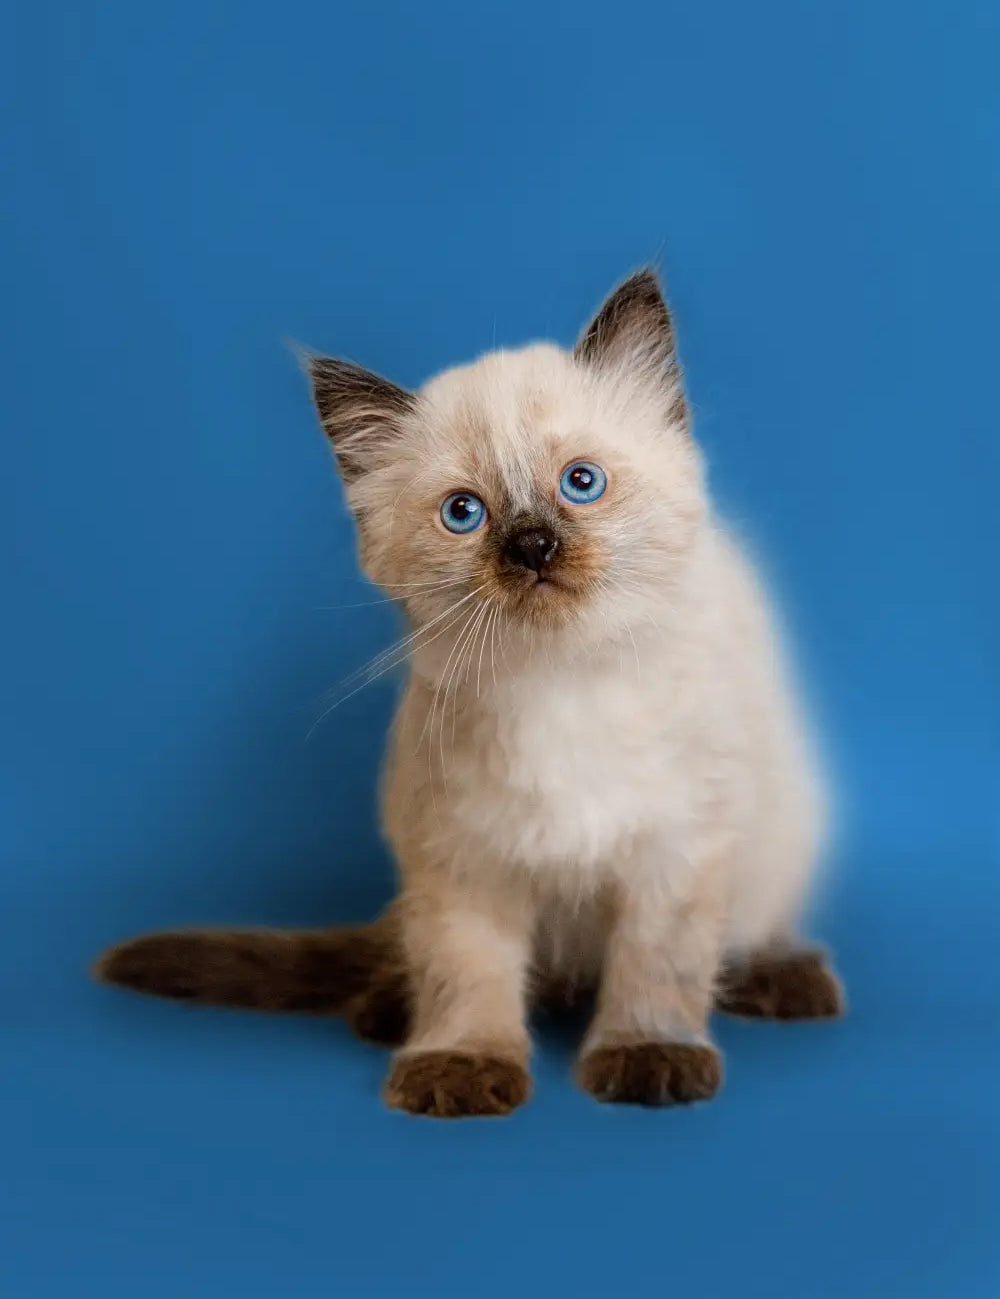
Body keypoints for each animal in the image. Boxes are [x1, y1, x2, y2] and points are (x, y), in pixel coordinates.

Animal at [95, 271, 841, 1117]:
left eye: (581, 483)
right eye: (465, 513)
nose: (532, 546)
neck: (560, 681)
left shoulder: (675, 850)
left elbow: (659, 962)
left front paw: (647, 1054)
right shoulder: (460, 855)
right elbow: (468, 969)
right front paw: (458, 1066)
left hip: (786, 830)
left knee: (749, 931)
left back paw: (784, 976)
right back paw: (389, 1010)